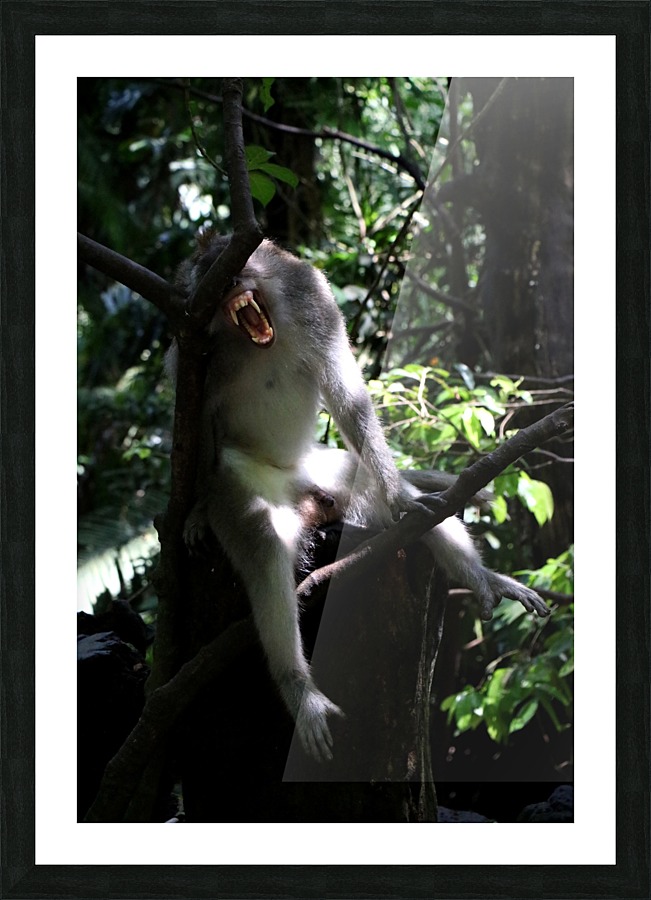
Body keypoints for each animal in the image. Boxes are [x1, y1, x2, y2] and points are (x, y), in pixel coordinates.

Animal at [171, 233, 549, 763]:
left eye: (234, 270)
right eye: (214, 281)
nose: (233, 289)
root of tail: (298, 488)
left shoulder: (312, 300)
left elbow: (349, 399)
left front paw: (405, 499)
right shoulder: (191, 353)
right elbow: (199, 427)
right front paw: (197, 513)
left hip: (327, 472)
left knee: (395, 499)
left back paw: (479, 575)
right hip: (247, 483)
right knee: (262, 541)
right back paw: (299, 689)